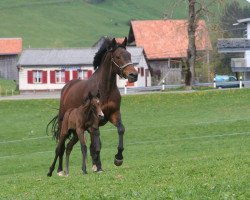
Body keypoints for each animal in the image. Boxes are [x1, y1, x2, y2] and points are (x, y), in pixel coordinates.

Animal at [47, 37, 138, 173]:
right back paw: (59, 170)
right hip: (64, 124)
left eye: (129, 55)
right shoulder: (95, 122)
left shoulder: (113, 114)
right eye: (117, 57)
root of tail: (67, 88)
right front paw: (98, 165)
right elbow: (97, 143)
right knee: (61, 145)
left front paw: (118, 158)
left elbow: (120, 129)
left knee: (70, 144)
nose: (133, 75)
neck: (105, 89)